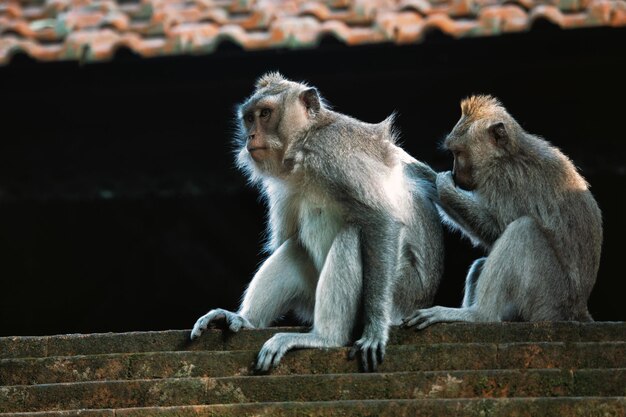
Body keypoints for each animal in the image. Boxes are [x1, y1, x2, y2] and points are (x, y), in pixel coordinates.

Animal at [190, 72, 444, 370]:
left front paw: (375, 330)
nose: (251, 136)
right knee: (296, 246)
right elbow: (289, 239)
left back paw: (325, 338)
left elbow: (381, 220)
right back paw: (244, 320)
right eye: (249, 118)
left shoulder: (331, 151)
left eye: (265, 114)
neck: (304, 145)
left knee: (351, 235)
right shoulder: (283, 186)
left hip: (402, 293)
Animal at [402, 95, 604, 328]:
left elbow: (496, 230)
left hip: (550, 298)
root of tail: (578, 310)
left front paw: (439, 183)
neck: (509, 155)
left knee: (523, 230)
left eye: (458, 153)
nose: (455, 172)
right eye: (452, 153)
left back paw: (478, 315)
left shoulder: (504, 179)